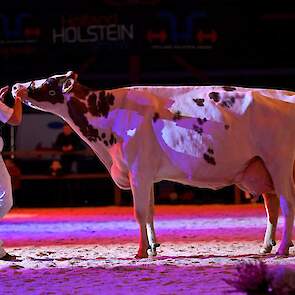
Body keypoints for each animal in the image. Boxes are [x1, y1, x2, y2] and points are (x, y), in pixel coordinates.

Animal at [11, 72, 295, 260]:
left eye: (47, 84)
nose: (15, 86)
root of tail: (287, 94)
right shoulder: (145, 175)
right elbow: (149, 213)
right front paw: (152, 248)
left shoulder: (138, 171)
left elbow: (139, 213)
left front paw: (139, 252)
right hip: (263, 167)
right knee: (272, 206)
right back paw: (268, 246)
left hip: (279, 162)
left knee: (287, 203)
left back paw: (282, 248)